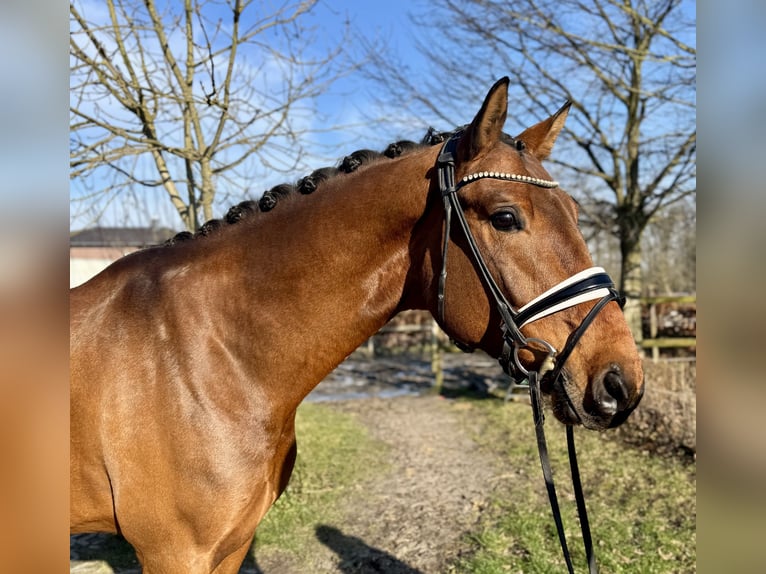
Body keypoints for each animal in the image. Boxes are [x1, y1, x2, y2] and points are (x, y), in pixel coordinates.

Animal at [72, 79, 648, 572]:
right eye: (506, 217)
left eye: (575, 212)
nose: (622, 381)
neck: (207, 355)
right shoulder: (175, 553)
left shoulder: (230, 547)